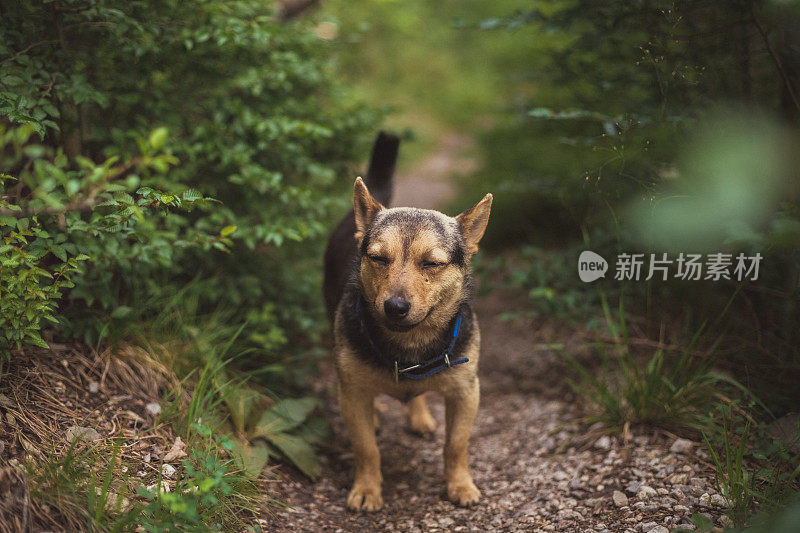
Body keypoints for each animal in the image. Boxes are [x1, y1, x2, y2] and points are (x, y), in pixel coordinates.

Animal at [322, 132, 490, 512]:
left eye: (432, 263)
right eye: (377, 258)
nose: (395, 306)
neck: (409, 347)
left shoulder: (466, 392)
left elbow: (456, 445)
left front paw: (460, 485)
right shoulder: (351, 394)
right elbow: (366, 449)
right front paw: (367, 489)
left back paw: (420, 416)